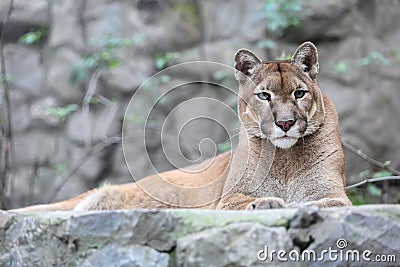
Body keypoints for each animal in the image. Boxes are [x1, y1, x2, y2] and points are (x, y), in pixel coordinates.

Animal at [12, 42, 350, 214]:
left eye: (299, 93)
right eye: (264, 95)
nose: (285, 123)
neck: (285, 159)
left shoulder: (335, 196)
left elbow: (319, 203)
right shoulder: (226, 199)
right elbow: (244, 201)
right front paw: (265, 202)